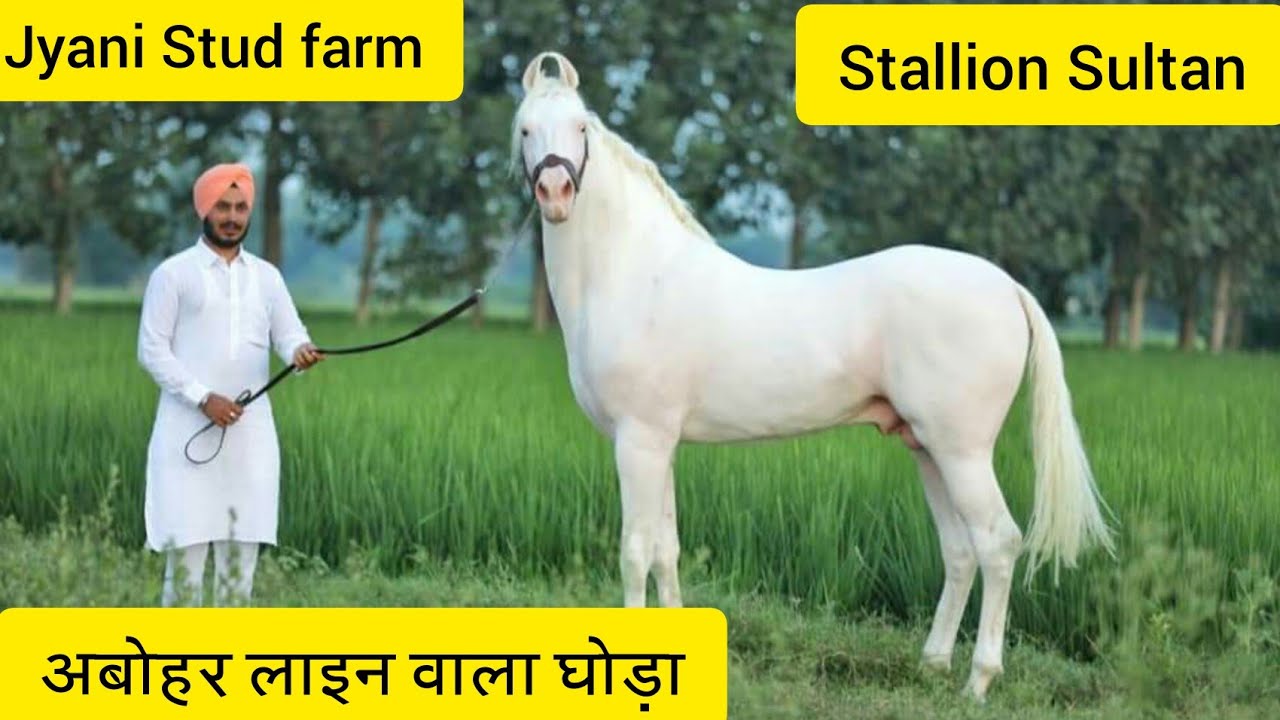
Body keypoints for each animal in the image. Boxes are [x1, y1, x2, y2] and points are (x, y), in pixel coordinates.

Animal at [510, 50, 1115, 700]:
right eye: (524, 129)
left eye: (580, 127)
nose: (554, 192)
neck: (636, 275)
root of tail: (1006, 286)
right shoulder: (661, 443)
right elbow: (667, 551)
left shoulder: (638, 441)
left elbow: (635, 551)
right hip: (927, 448)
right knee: (960, 550)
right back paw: (932, 664)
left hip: (963, 451)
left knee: (999, 543)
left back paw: (977, 682)